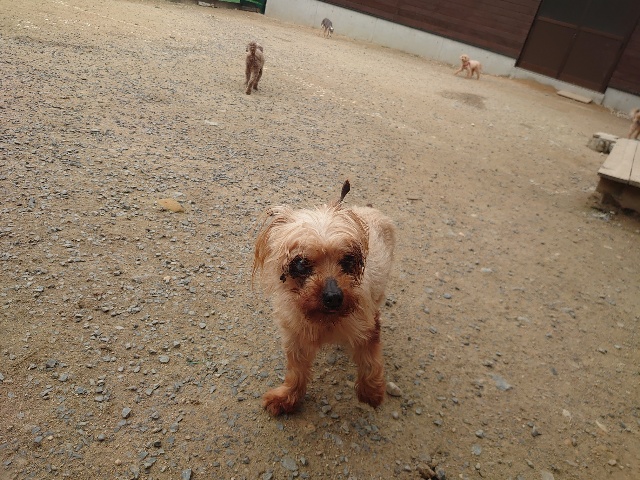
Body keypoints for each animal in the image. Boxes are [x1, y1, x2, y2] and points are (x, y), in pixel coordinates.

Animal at [253, 180, 396, 416]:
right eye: (301, 263)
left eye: (348, 260)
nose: (333, 296)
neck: (325, 320)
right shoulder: (296, 338)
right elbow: (296, 372)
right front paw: (287, 397)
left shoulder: (367, 328)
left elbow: (370, 361)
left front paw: (372, 392)